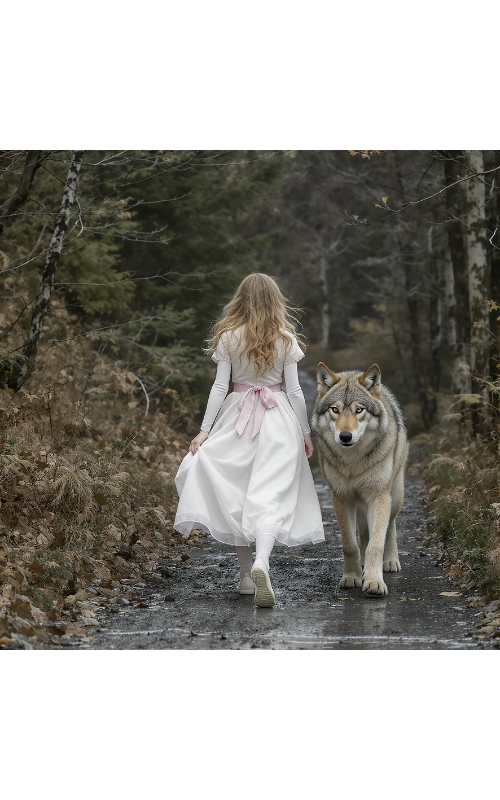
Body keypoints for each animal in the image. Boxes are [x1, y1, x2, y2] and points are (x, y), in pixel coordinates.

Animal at [311, 363, 408, 596]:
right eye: (335, 410)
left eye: (359, 410)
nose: (345, 436)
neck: (353, 462)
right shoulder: (341, 498)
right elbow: (350, 544)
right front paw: (352, 577)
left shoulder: (379, 496)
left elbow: (376, 543)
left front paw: (374, 582)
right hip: (361, 504)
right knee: (364, 533)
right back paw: (363, 565)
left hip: (394, 497)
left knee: (390, 527)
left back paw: (390, 562)